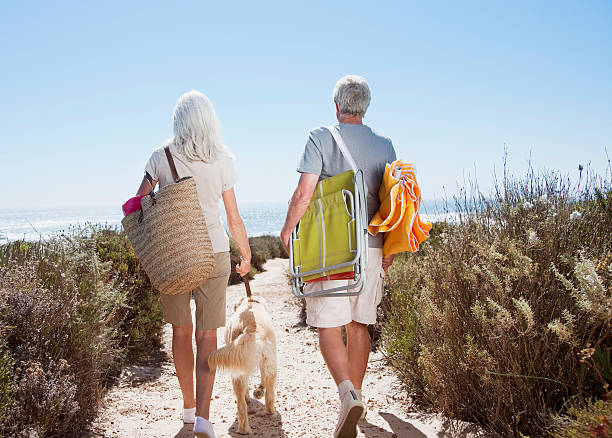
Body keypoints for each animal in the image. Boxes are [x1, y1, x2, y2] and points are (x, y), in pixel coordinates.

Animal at [209, 294, 278, 434]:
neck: (251, 302)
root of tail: (251, 329)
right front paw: (259, 391)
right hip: (270, 365)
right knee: (269, 394)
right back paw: (269, 411)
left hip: (240, 373)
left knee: (241, 404)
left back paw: (243, 429)